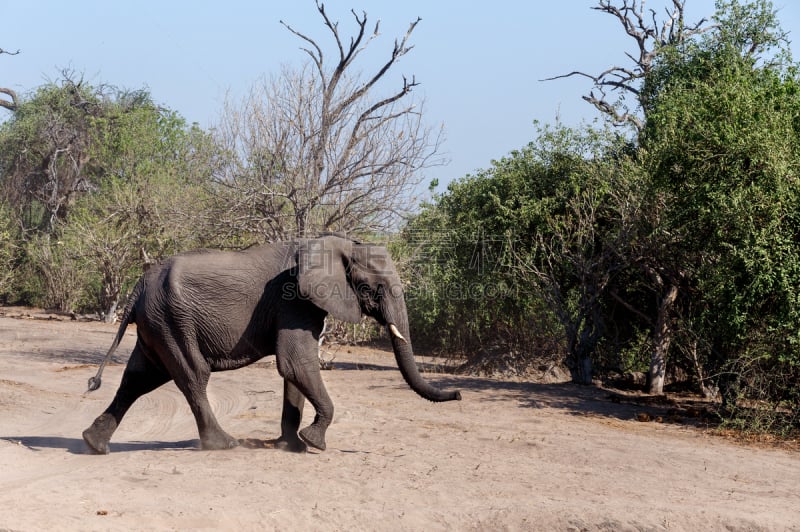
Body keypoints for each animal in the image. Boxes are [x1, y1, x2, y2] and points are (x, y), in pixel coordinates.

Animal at [83, 235, 460, 456]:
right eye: (373, 288)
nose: (457, 394)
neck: (336, 244)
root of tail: (138, 285)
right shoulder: (294, 299)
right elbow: (295, 362)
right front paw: (314, 444)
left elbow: (295, 371)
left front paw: (291, 446)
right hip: (172, 321)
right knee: (193, 376)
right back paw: (224, 445)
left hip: (158, 324)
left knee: (139, 378)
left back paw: (93, 443)